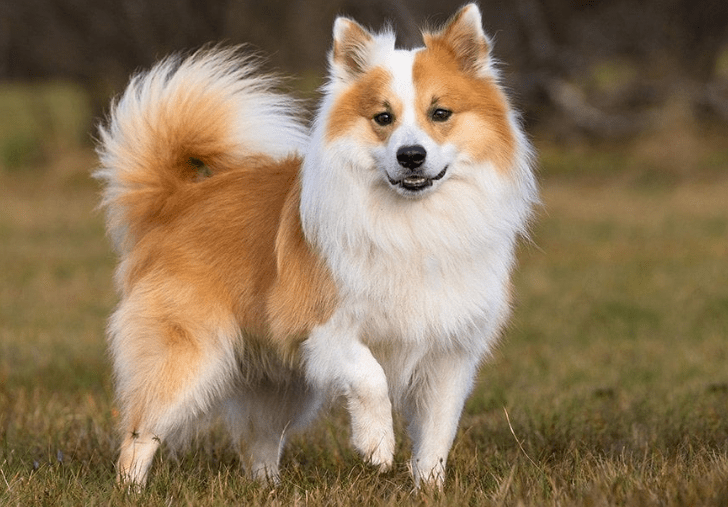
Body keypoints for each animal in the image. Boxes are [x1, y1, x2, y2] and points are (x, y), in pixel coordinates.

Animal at [95, 2, 536, 488]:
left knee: (258, 442)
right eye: (383, 118)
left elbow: (438, 433)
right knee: (141, 432)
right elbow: (371, 377)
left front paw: (429, 488)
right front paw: (376, 444)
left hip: (276, 383)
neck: (413, 221)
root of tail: (176, 200)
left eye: (440, 113)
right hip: (190, 358)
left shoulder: (449, 353)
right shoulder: (321, 327)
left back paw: (268, 489)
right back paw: (132, 488)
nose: (411, 156)